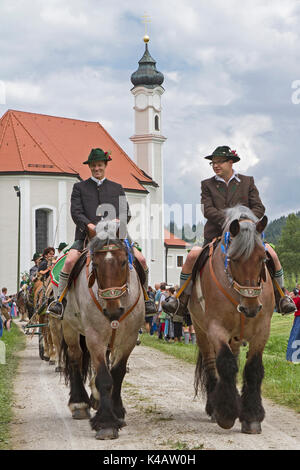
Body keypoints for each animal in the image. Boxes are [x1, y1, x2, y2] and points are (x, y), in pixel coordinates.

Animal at [190, 207, 274, 436]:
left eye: (263, 258)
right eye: (234, 259)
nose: (250, 308)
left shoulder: (262, 331)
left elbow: (253, 369)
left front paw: (251, 417)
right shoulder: (215, 329)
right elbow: (226, 365)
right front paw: (226, 414)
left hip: (236, 337)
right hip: (201, 332)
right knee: (211, 365)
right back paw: (213, 407)